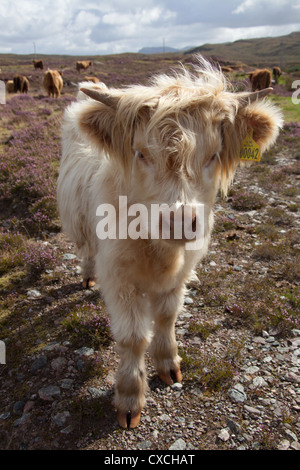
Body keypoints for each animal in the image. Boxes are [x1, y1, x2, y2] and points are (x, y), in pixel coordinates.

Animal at [56, 56, 284, 430]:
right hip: (78, 222)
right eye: (140, 154)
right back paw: (87, 276)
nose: (179, 221)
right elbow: (133, 337)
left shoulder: (181, 274)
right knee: (85, 249)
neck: (159, 250)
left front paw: (168, 364)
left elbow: (166, 317)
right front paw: (129, 398)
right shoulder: (118, 277)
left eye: (213, 155)